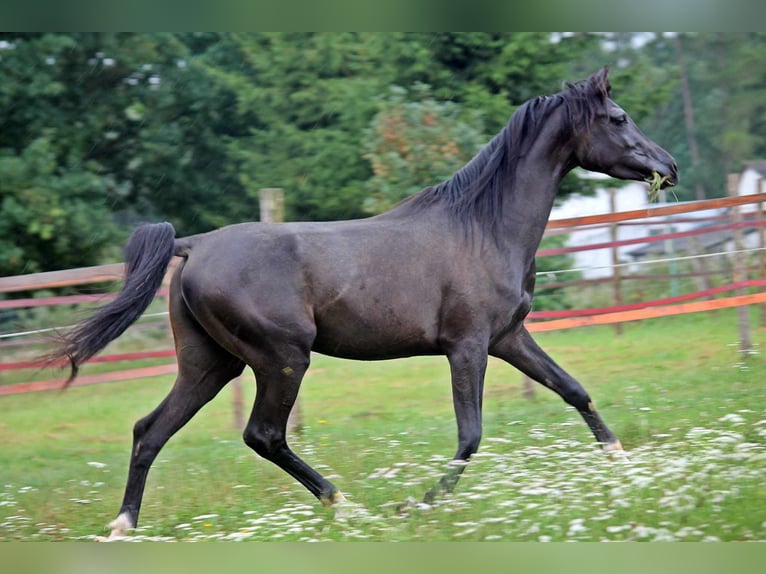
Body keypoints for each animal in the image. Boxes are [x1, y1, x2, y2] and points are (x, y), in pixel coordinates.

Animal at [51, 68, 680, 540]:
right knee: (264, 436)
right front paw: (416, 506)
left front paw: (623, 464)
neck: (483, 226)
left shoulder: (509, 338)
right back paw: (349, 508)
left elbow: (574, 390)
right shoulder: (467, 346)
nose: (668, 167)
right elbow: (470, 435)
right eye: (619, 118)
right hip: (282, 359)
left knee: (149, 431)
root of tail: (194, 244)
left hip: (211, 365)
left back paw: (122, 528)